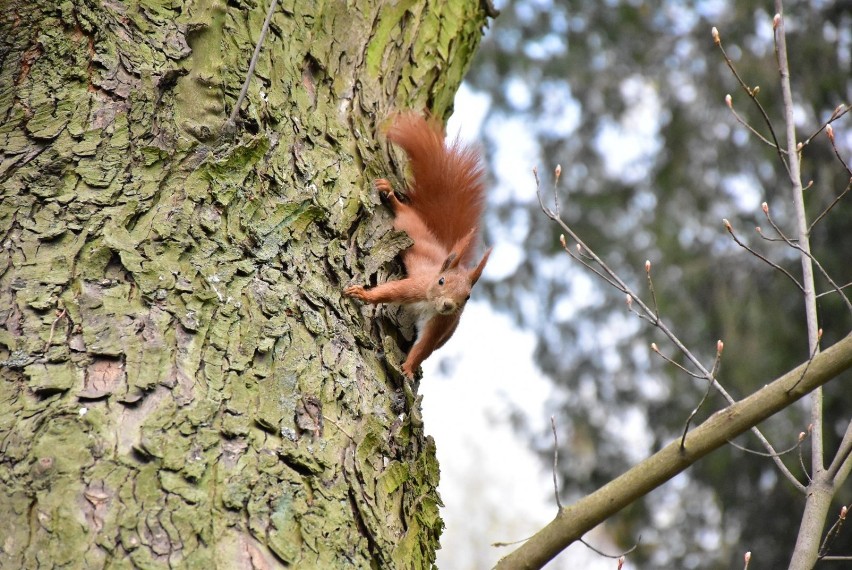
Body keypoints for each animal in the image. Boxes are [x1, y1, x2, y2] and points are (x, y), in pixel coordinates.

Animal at [346, 112, 492, 378]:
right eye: (441, 281)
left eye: (467, 297)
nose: (448, 304)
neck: (430, 303)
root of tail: (442, 246)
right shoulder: (416, 286)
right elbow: (388, 291)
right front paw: (363, 293)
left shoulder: (440, 324)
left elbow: (423, 348)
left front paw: (407, 369)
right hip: (410, 227)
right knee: (405, 213)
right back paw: (391, 196)